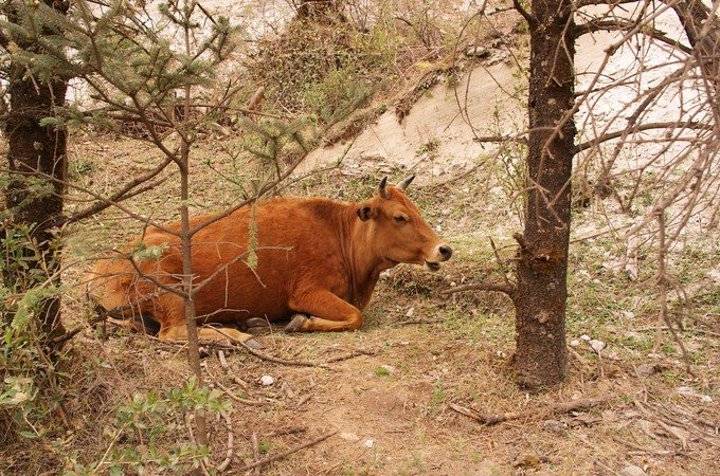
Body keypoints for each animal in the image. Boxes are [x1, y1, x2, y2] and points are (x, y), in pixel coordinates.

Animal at [88, 177, 450, 344]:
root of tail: (97, 270)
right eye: (400, 217)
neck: (339, 232)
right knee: (173, 332)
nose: (443, 249)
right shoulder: (306, 292)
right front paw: (301, 322)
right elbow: (355, 316)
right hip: (172, 291)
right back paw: (238, 335)